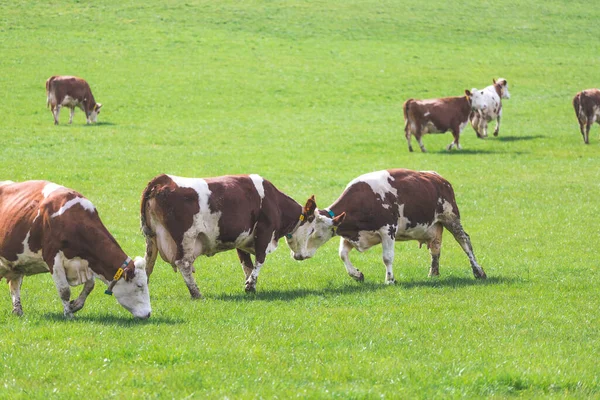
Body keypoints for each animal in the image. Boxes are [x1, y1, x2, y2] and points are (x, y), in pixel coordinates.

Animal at [0, 181, 150, 318]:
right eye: (139, 285)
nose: (148, 313)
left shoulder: (88, 263)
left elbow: (90, 286)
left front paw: (75, 305)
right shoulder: (53, 259)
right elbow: (64, 290)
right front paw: (68, 314)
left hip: (16, 264)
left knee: (15, 285)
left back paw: (18, 311)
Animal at [141, 173, 310, 298]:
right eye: (313, 228)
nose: (305, 256)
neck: (273, 200)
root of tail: (164, 179)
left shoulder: (242, 238)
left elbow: (246, 264)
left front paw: (250, 285)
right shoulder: (264, 232)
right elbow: (260, 259)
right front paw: (250, 285)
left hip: (152, 240)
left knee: (147, 264)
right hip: (186, 238)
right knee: (183, 263)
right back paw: (196, 294)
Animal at [286, 169, 488, 284]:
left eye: (316, 234)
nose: (297, 255)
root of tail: (438, 177)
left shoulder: (388, 230)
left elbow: (387, 257)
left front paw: (389, 279)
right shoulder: (351, 233)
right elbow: (343, 254)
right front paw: (356, 274)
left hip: (450, 217)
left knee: (465, 241)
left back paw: (478, 271)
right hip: (435, 226)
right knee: (435, 248)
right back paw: (433, 273)